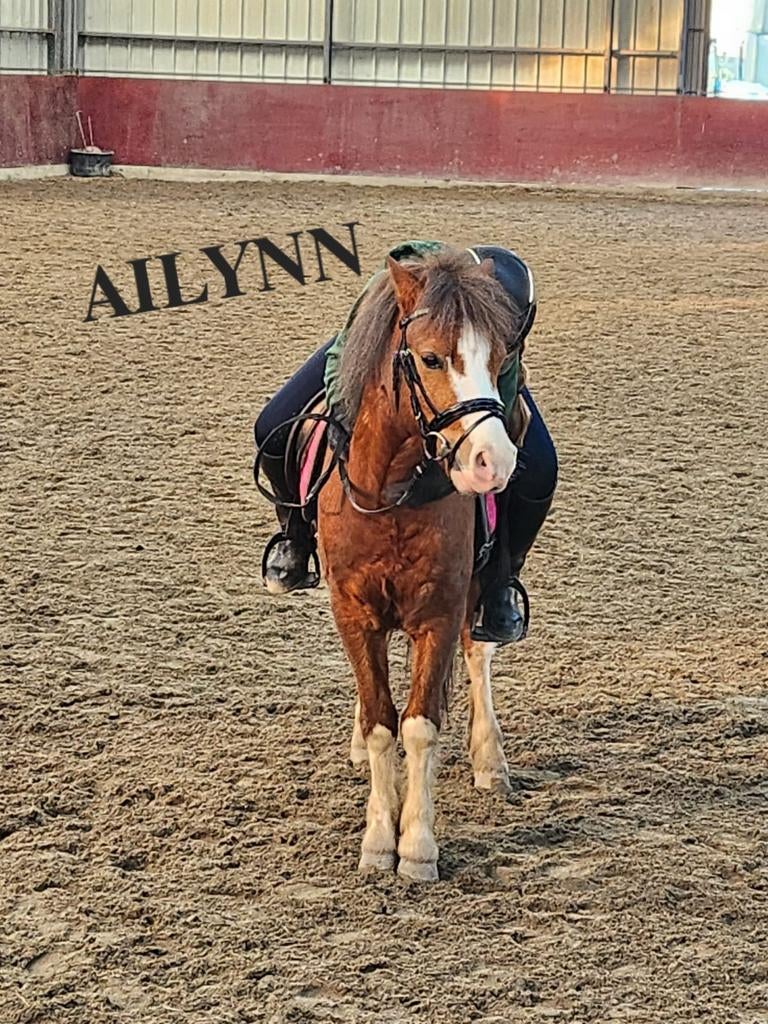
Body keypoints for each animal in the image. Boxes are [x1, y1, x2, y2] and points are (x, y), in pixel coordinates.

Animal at [316, 247, 522, 882]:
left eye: (500, 358)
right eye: (431, 358)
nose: (494, 461)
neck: (390, 493)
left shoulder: (439, 610)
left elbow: (419, 725)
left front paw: (416, 848)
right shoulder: (353, 611)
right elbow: (383, 722)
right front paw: (378, 841)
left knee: (478, 653)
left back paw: (490, 759)